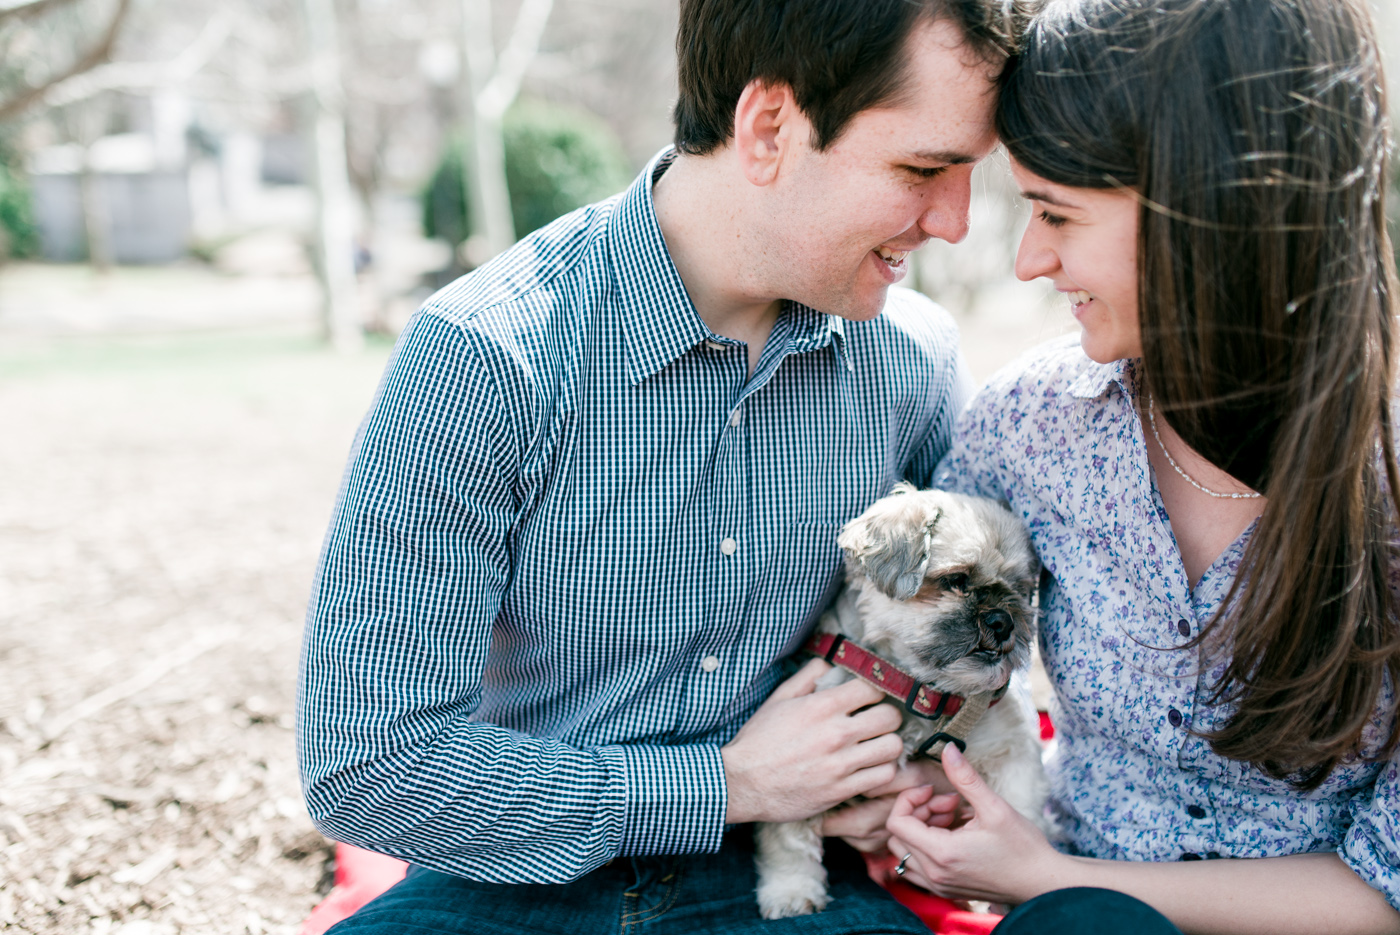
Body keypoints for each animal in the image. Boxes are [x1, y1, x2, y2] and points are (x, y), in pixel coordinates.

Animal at [756, 487, 1052, 918]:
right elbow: (789, 833)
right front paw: (791, 889)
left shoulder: (1013, 751)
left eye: (1018, 588)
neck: (921, 690)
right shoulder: (807, 766)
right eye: (956, 580)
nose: (1003, 621)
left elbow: (1023, 809)